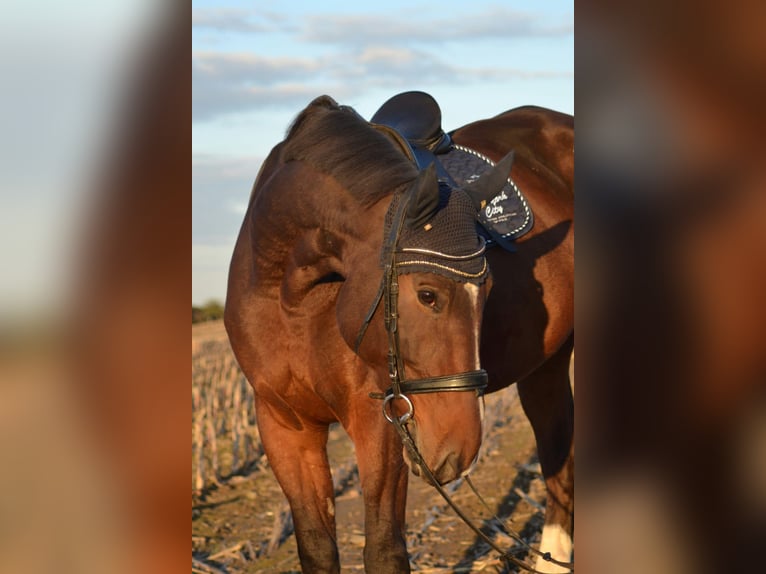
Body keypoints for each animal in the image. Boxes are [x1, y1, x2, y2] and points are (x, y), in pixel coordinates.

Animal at [225, 95, 572, 574]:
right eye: (427, 295)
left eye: (489, 290)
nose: (459, 449)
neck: (288, 297)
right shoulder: (283, 425)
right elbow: (316, 547)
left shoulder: (381, 422)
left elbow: (385, 550)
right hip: (546, 366)